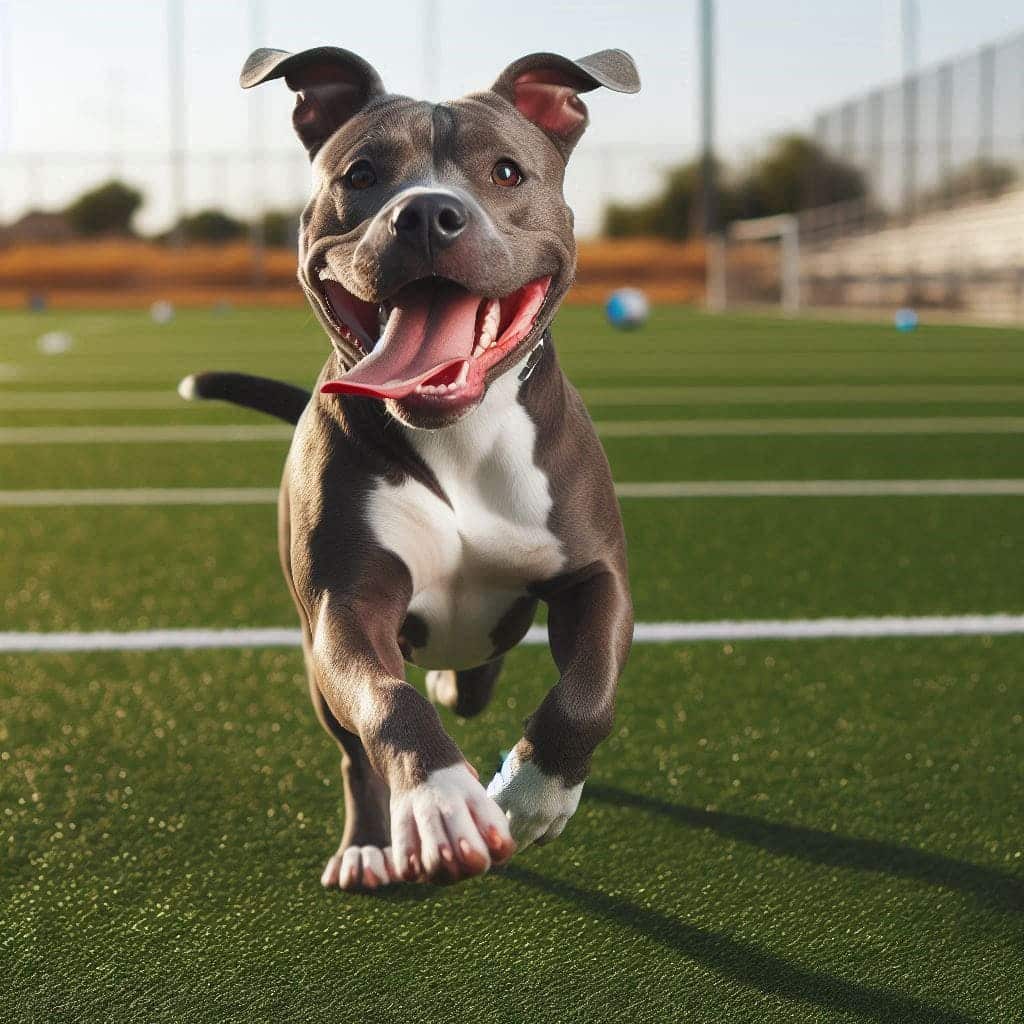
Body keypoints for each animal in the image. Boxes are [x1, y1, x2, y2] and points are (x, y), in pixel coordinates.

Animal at [180, 44, 634, 888]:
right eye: (360, 174)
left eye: (507, 172)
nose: (426, 213)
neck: (458, 431)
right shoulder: (346, 607)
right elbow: (388, 704)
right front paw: (442, 800)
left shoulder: (596, 575)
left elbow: (586, 693)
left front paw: (534, 794)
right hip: (316, 666)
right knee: (355, 752)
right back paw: (367, 844)